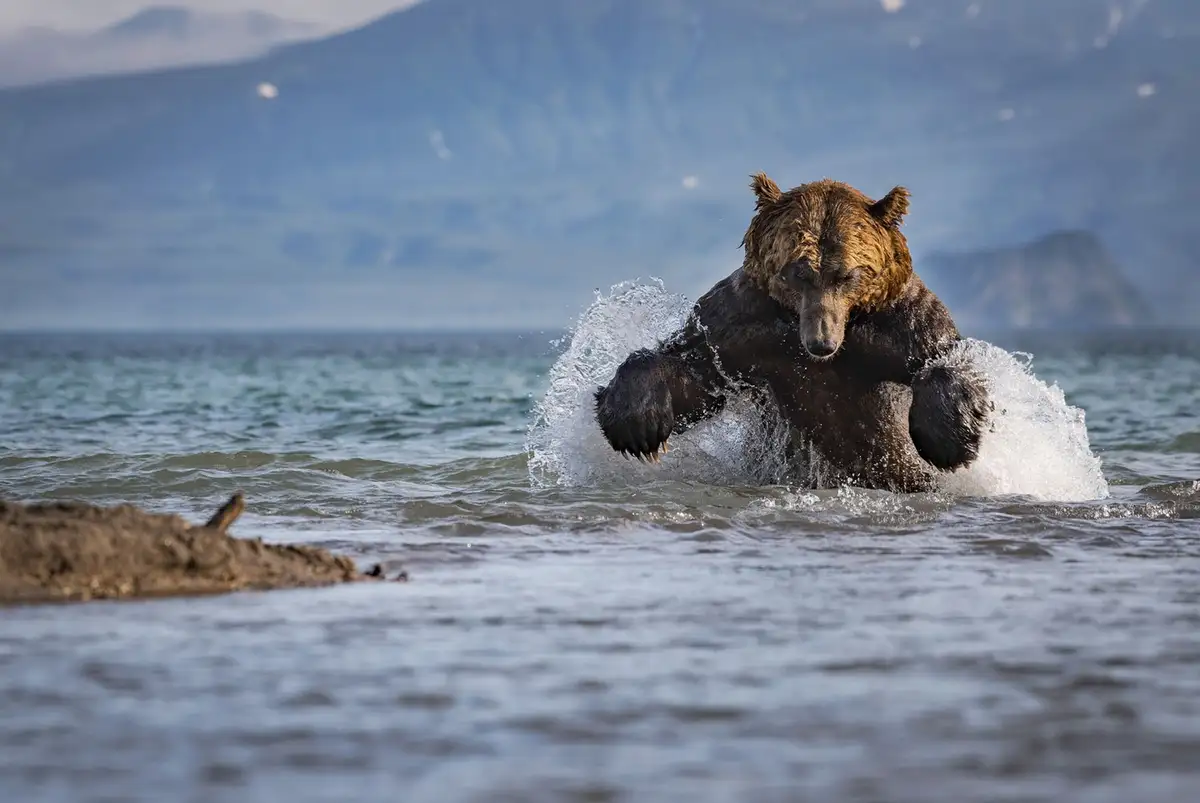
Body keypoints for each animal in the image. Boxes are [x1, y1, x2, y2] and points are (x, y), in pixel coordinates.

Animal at [592, 172, 991, 493]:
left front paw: (949, 439)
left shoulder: (897, 325)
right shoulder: (737, 329)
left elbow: (945, 356)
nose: (821, 343)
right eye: (798, 272)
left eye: (846, 275)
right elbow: (694, 375)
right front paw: (636, 423)